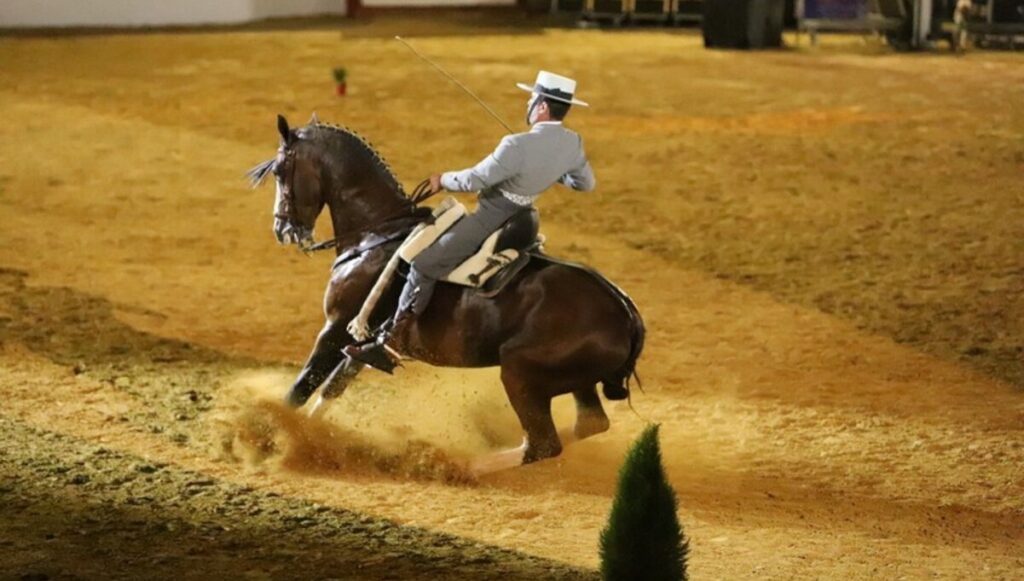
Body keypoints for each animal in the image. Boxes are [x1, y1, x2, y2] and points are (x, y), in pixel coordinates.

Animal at [249, 114, 644, 473]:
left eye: (281, 170)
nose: (283, 229)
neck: (377, 234)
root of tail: (625, 312)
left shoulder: (335, 329)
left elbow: (302, 387)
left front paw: (268, 438)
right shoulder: (359, 344)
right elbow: (331, 388)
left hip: (520, 375)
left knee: (541, 444)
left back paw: (455, 465)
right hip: (574, 382)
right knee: (588, 425)